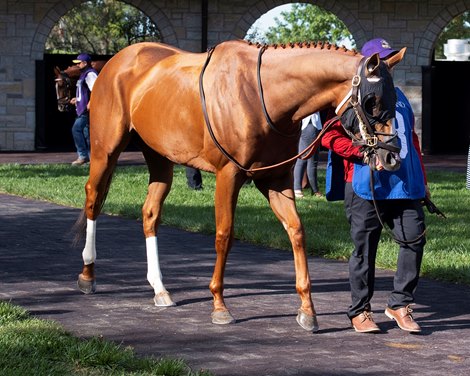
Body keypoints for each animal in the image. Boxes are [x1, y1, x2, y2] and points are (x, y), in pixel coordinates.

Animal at [73, 39, 404, 330]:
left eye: (392, 98)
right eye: (372, 101)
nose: (391, 156)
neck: (263, 96)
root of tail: (116, 60)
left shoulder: (276, 180)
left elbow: (297, 231)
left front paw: (307, 310)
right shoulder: (228, 175)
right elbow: (224, 235)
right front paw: (219, 305)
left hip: (159, 156)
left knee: (150, 213)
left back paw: (160, 289)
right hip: (105, 148)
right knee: (93, 198)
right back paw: (87, 274)